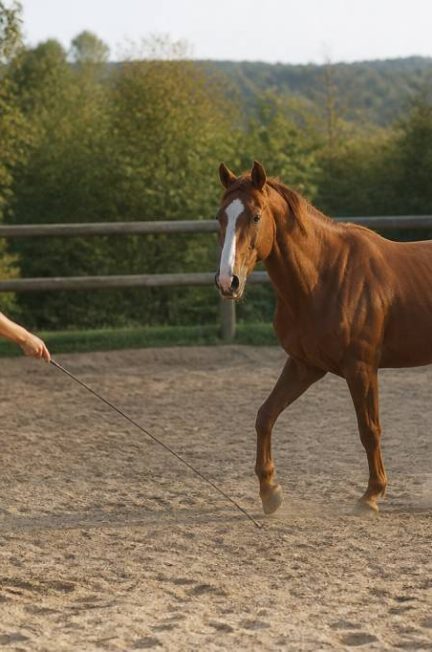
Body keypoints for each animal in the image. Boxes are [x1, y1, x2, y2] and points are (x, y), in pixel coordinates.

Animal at [215, 160, 432, 515]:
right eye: (220, 217)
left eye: (256, 216)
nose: (227, 281)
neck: (325, 276)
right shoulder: (305, 365)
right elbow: (265, 415)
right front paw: (269, 491)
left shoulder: (361, 369)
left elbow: (369, 429)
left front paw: (371, 495)